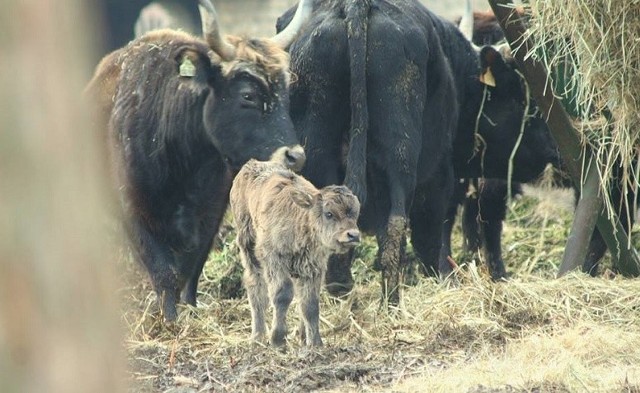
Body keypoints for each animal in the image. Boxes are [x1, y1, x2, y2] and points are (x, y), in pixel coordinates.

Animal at [87, 0, 312, 320]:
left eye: (285, 91)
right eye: (248, 95)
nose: (294, 156)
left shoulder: (211, 212)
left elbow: (190, 268)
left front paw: (190, 306)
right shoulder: (133, 211)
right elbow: (163, 272)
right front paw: (170, 319)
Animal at [230, 159, 360, 346]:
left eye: (355, 214)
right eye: (329, 214)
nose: (353, 235)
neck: (301, 219)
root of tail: (250, 165)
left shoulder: (312, 268)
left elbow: (310, 304)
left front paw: (315, 343)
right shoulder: (274, 261)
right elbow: (282, 295)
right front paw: (277, 339)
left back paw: (301, 335)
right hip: (248, 246)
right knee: (255, 286)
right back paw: (258, 337)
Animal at [278, 0, 556, 304]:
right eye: (522, 99)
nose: (552, 150)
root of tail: (355, 7)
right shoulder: (441, 176)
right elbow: (433, 237)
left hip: (317, 151)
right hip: (402, 157)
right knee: (397, 227)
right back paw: (391, 303)